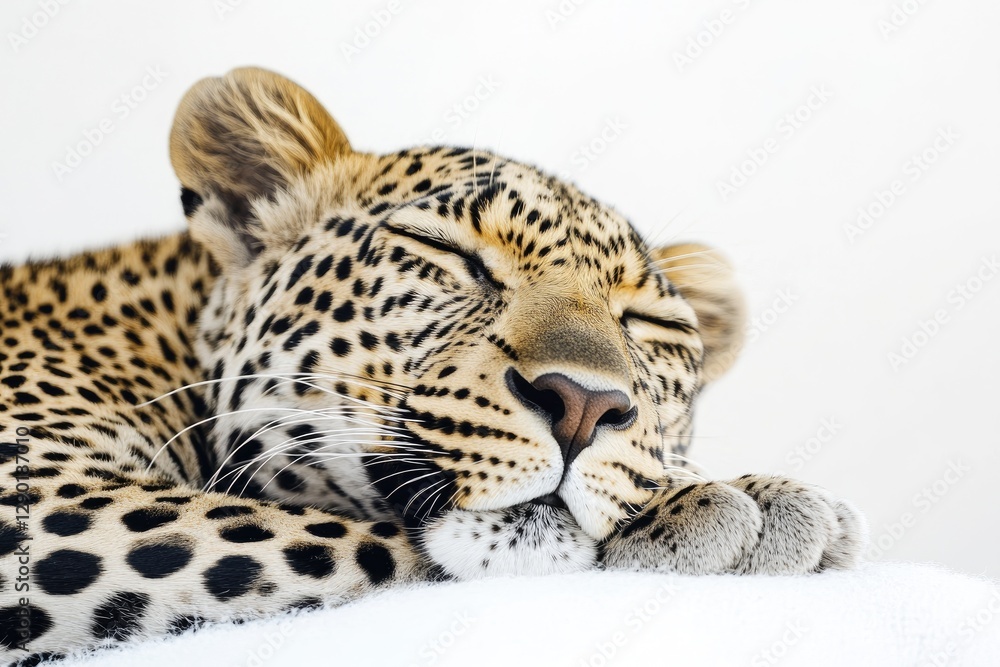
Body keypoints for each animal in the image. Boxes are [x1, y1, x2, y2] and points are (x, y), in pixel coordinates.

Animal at [0, 67, 865, 663]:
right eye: (452, 257)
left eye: (645, 324)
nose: (584, 404)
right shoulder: (48, 502)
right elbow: (364, 535)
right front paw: (712, 507)